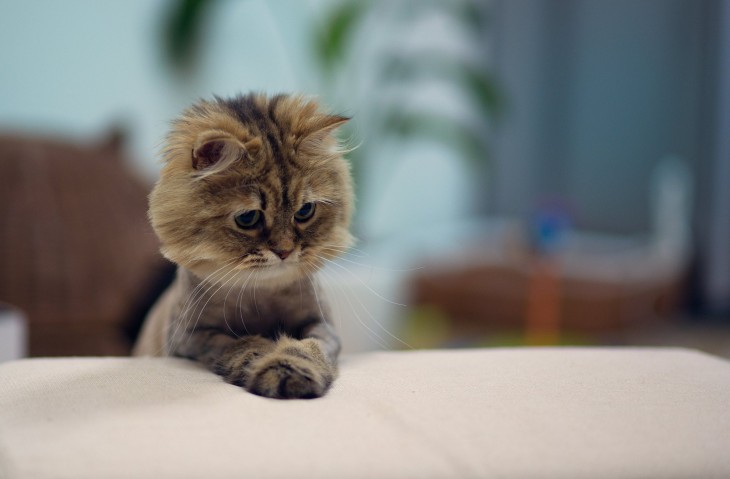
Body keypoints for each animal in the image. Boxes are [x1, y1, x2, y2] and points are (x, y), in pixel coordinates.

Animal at [134, 92, 356, 400]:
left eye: (305, 211)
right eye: (248, 218)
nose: (285, 251)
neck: (259, 293)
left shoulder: (323, 325)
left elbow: (309, 348)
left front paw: (291, 371)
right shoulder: (189, 336)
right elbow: (241, 344)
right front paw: (264, 363)